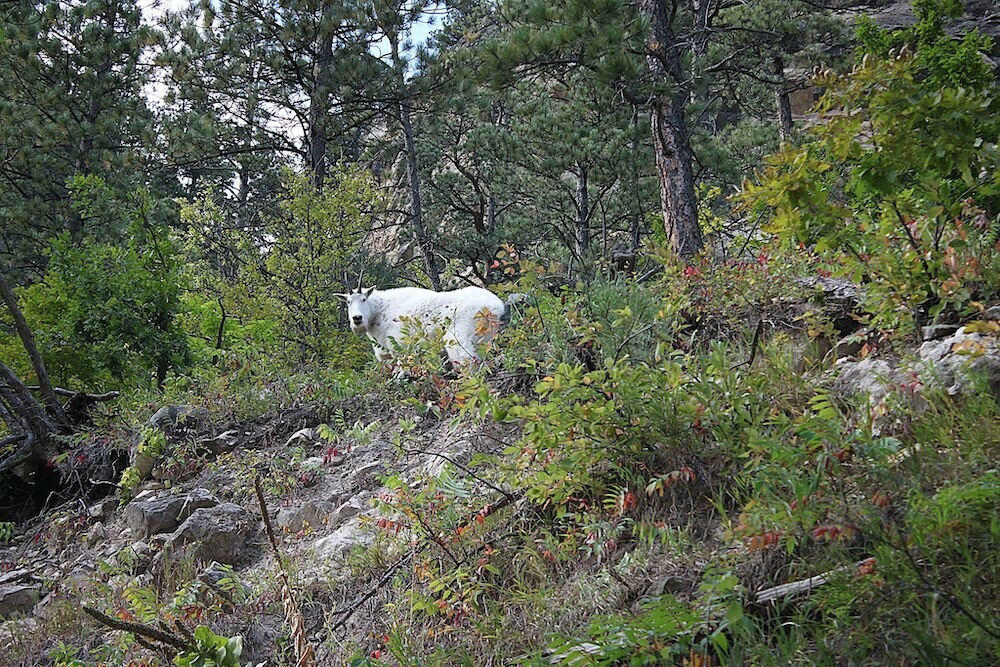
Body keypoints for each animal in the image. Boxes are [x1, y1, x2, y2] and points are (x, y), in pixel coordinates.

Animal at [338, 284, 508, 362]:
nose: (357, 318)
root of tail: (494, 307)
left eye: (363, 299)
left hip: (458, 336)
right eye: (348, 302)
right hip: (486, 336)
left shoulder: (399, 347)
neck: (379, 310)